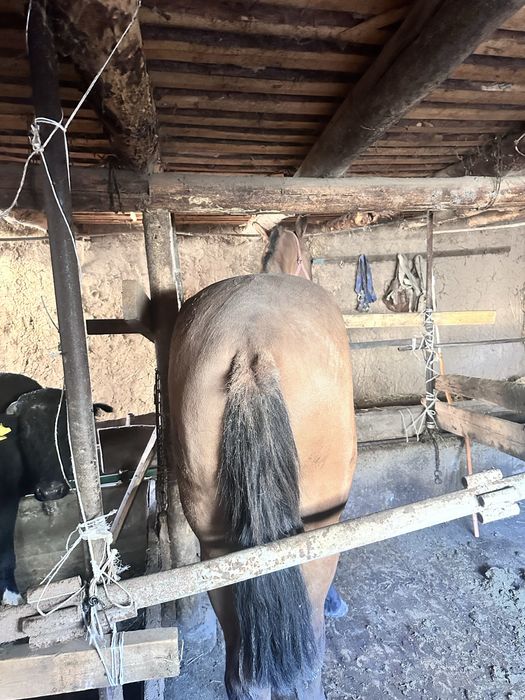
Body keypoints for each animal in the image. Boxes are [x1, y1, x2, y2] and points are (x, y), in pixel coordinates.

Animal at [168, 219, 356, 699]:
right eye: (308, 260)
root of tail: (251, 350)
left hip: (219, 549)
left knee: (240, 675)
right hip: (315, 533)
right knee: (308, 655)